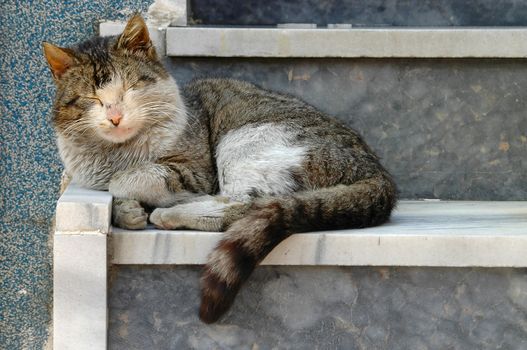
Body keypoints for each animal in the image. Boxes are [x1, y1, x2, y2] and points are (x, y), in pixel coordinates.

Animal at [44, 15, 396, 322]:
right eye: (92, 98)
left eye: (130, 88)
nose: (115, 117)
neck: (118, 153)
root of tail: (379, 174)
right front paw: (128, 212)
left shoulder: (196, 172)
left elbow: (126, 180)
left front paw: (132, 197)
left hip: (243, 140)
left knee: (247, 205)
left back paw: (170, 214)